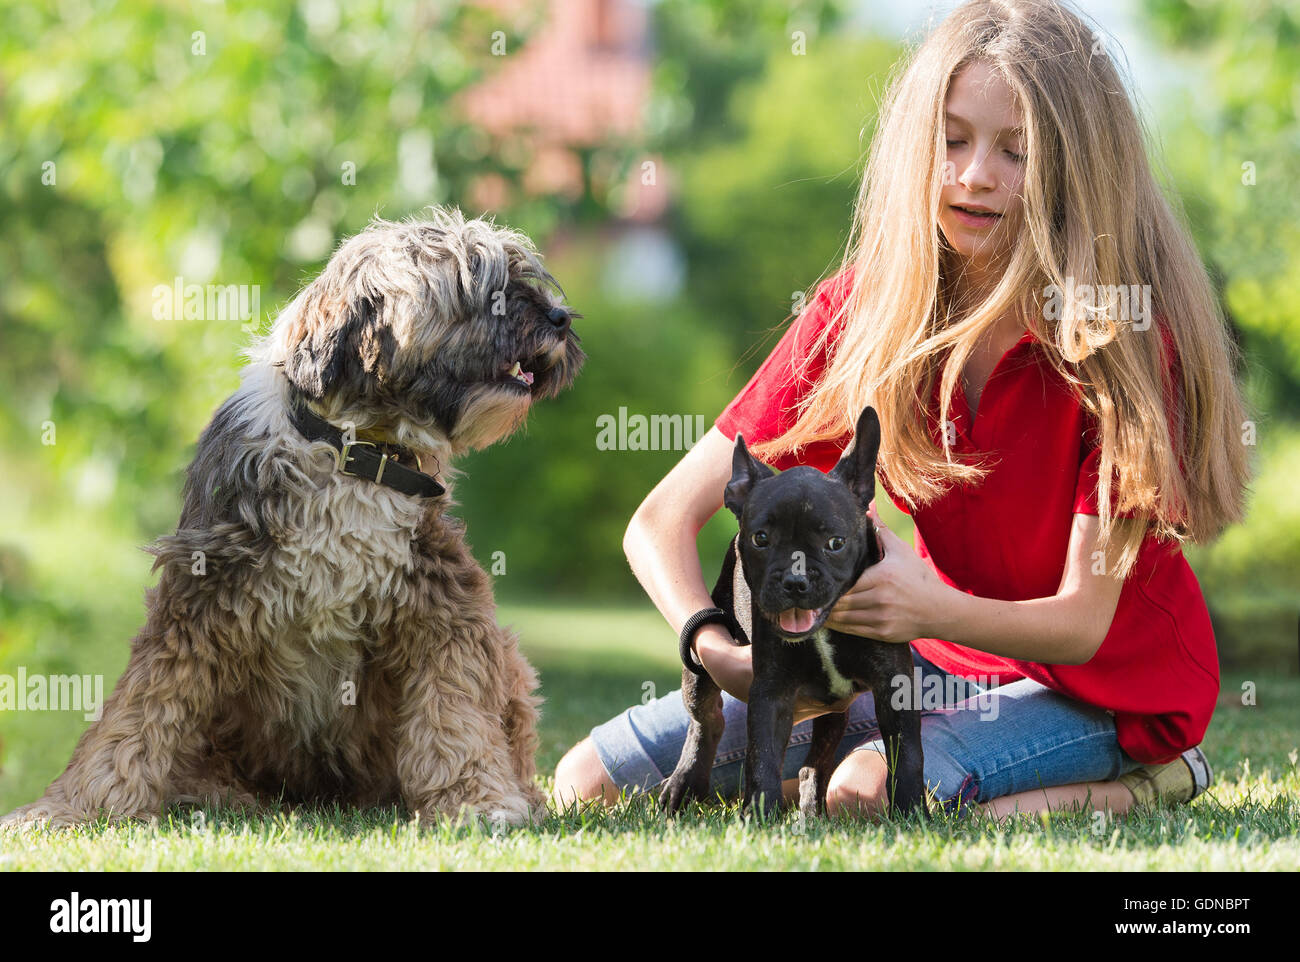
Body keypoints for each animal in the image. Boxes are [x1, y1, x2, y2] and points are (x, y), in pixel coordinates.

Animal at [0, 206, 582, 832]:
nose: (560, 318)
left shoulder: (444, 605)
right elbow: (140, 709)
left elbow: (455, 712)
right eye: (476, 280)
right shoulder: (200, 597)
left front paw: (477, 797)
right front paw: (76, 807)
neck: (355, 450)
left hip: (509, 662)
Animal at [660, 405, 925, 821]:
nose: (795, 580)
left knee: (815, 762)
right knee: (706, 720)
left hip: (834, 712)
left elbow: (907, 755)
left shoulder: (894, 685)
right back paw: (684, 785)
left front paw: (914, 813)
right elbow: (763, 758)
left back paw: (812, 813)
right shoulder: (771, 691)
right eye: (760, 539)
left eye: (836, 543)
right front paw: (757, 816)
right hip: (700, 667)